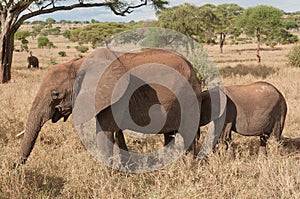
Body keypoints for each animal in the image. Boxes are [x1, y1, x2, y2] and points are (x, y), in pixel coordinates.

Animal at [16, 47, 202, 169]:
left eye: (55, 94)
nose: (14, 168)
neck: (78, 63)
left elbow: (104, 132)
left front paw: (108, 175)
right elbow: (116, 133)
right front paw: (125, 170)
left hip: (190, 98)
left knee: (188, 134)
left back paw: (189, 168)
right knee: (169, 134)